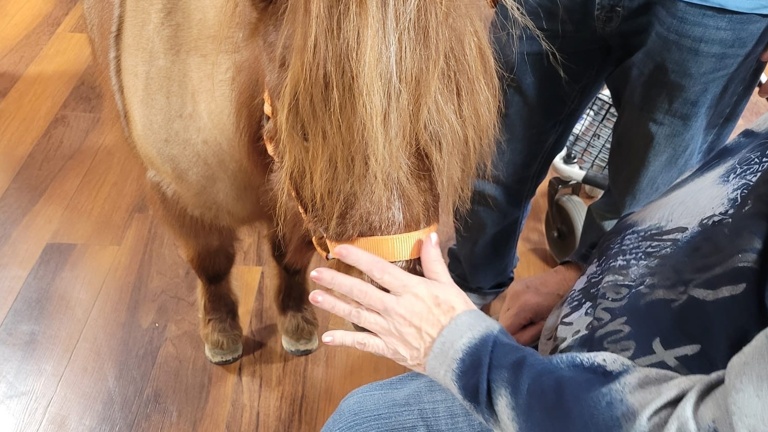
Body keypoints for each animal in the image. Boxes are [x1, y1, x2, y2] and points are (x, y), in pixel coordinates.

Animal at [84, 0, 528, 364]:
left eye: (441, 125)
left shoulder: (297, 213)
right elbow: (212, 265)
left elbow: (290, 261)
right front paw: (221, 331)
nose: (398, 305)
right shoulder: (181, 199)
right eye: (305, 132)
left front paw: (297, 324)